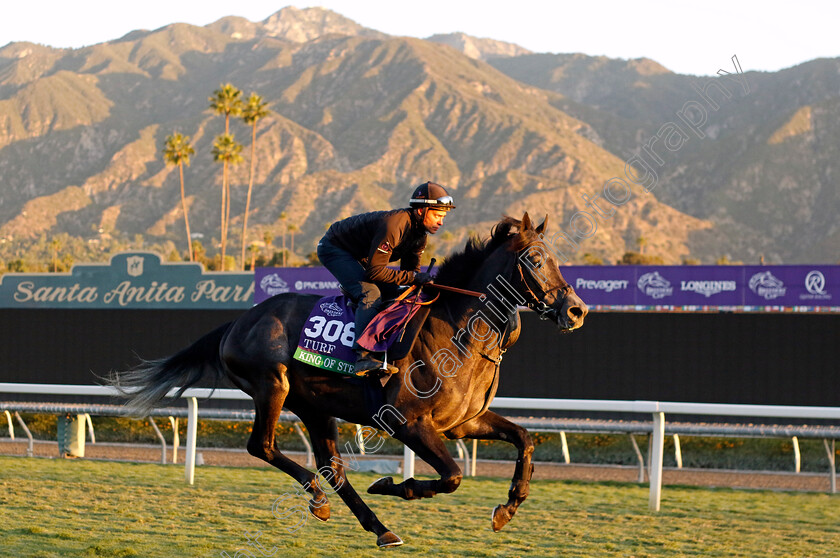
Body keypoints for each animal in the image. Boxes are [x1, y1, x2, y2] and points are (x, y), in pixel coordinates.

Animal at [115, 213, 588, 548]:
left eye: (556, 259)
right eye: (536, 260)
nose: (577, 310)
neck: (457, 329)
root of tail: (238, 321)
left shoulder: (462, 423)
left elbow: (525, 439)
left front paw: (508, 507)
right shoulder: (406, 422)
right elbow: (452, 476)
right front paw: (395, 484)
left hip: (315, 406)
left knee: (332, 465)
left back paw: (379, 528)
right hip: (273, 387)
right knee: (262, 447)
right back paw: (320, 499)